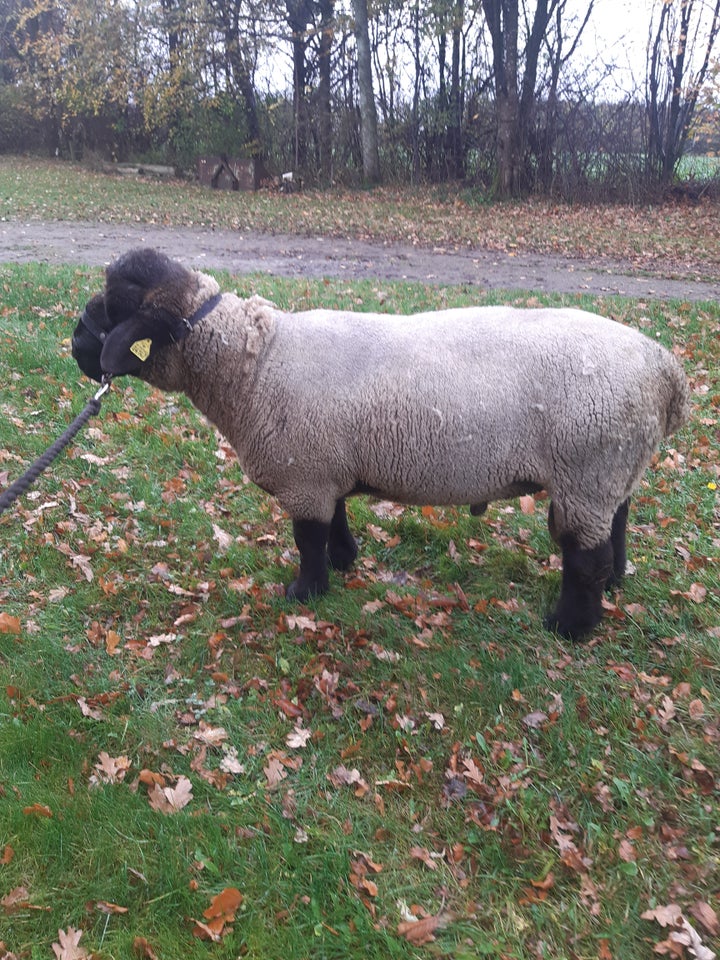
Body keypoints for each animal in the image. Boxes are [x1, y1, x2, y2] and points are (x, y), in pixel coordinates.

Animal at [73, 248, 692, 640]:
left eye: (117, 307)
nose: (76, 342)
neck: (253, 362)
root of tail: (665, 370)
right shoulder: (324, 466)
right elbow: (335, 521)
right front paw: (345, 563)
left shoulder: (304, 472)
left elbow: (307, 538)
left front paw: (306, 592)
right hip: (610, 469)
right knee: (618, 522)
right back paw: (615, 580)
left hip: (586, 466)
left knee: (583, 557)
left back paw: (569, 628)